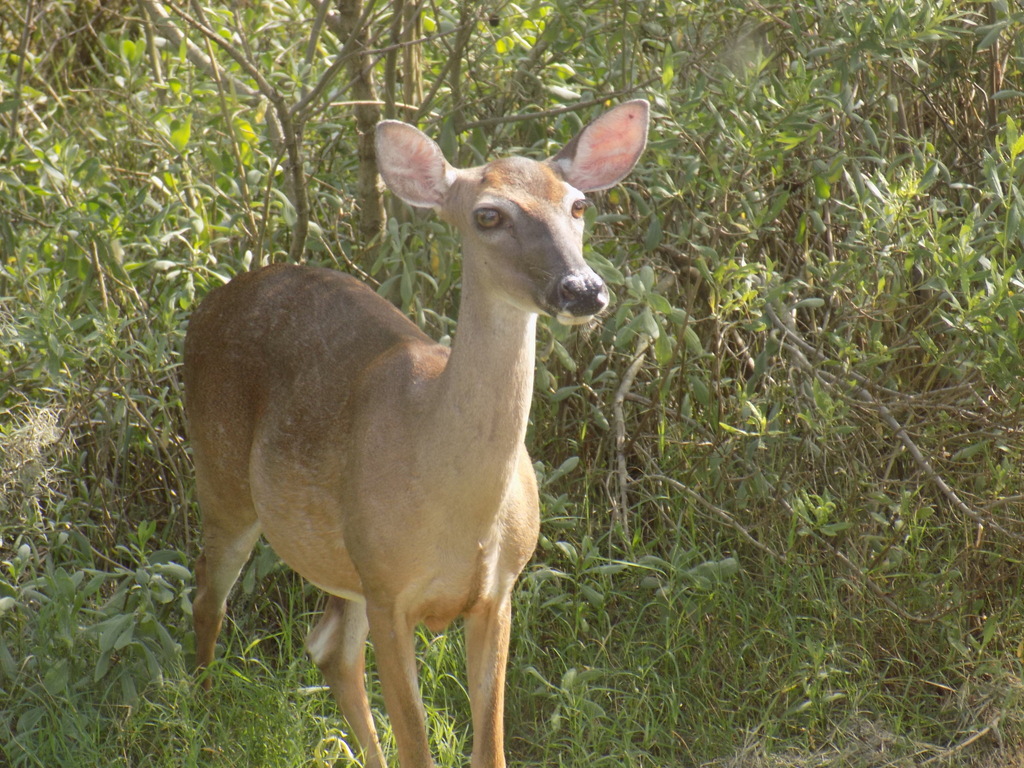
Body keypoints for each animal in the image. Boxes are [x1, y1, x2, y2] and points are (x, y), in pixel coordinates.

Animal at [182, 99, 649, 768]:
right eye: (488, 214)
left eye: (579, 205)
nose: (583, 288)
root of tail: (209, 303)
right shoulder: (387, 588)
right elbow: (419, 745)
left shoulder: (498, 590)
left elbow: (488, 749)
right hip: (223, 477)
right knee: (207, 597)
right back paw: (202, 710)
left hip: (340, 558)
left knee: (327, 646)